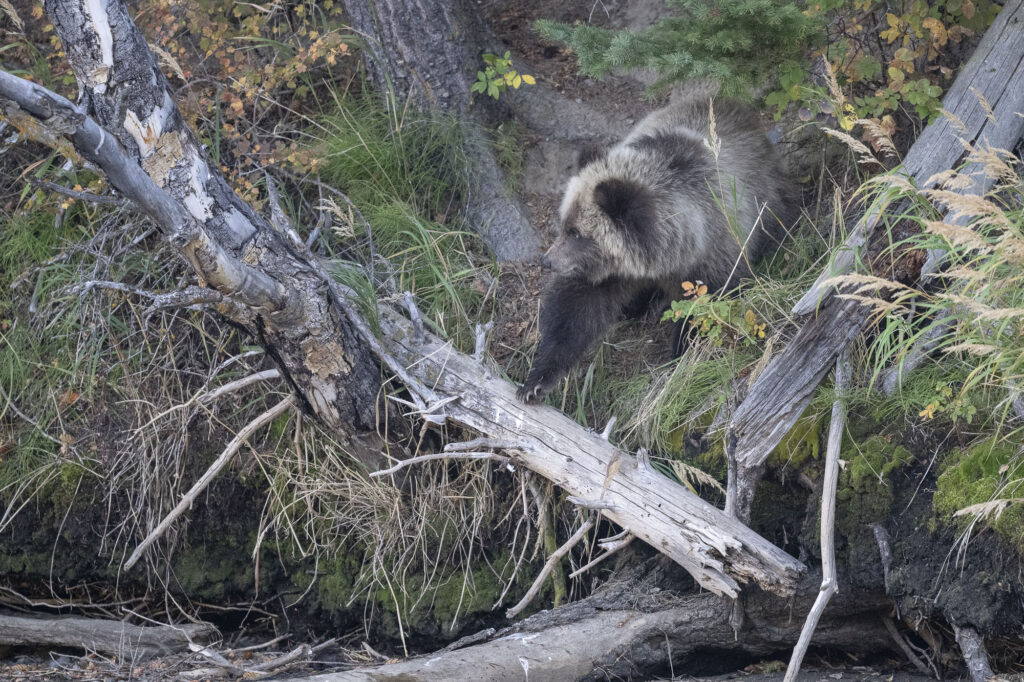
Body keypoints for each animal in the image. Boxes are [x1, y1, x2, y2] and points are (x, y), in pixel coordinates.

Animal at [516, 92, 798, 404]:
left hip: (770, 203)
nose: (547, 261)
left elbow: (704, 312)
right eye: (565, 223)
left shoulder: (716, 254)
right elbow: (573, 312)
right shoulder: (607, 273)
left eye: (576, 233)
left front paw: (680, 356)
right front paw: (536, 381)